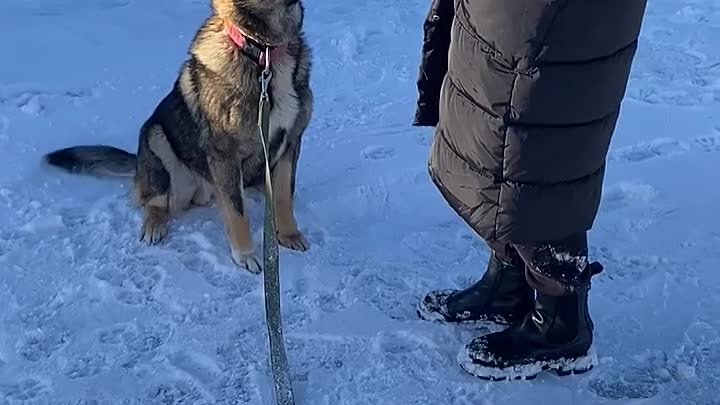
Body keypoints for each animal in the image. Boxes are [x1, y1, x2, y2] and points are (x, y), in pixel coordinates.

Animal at [42, 0, 312, 274]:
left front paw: (288, 235)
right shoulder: (225, 155)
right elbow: (238, 212)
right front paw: (245, 255)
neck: (262, 53)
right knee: (156, 202)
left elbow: (283, 196)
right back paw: (154, 226)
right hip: (156, 138)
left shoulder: (291, 144)